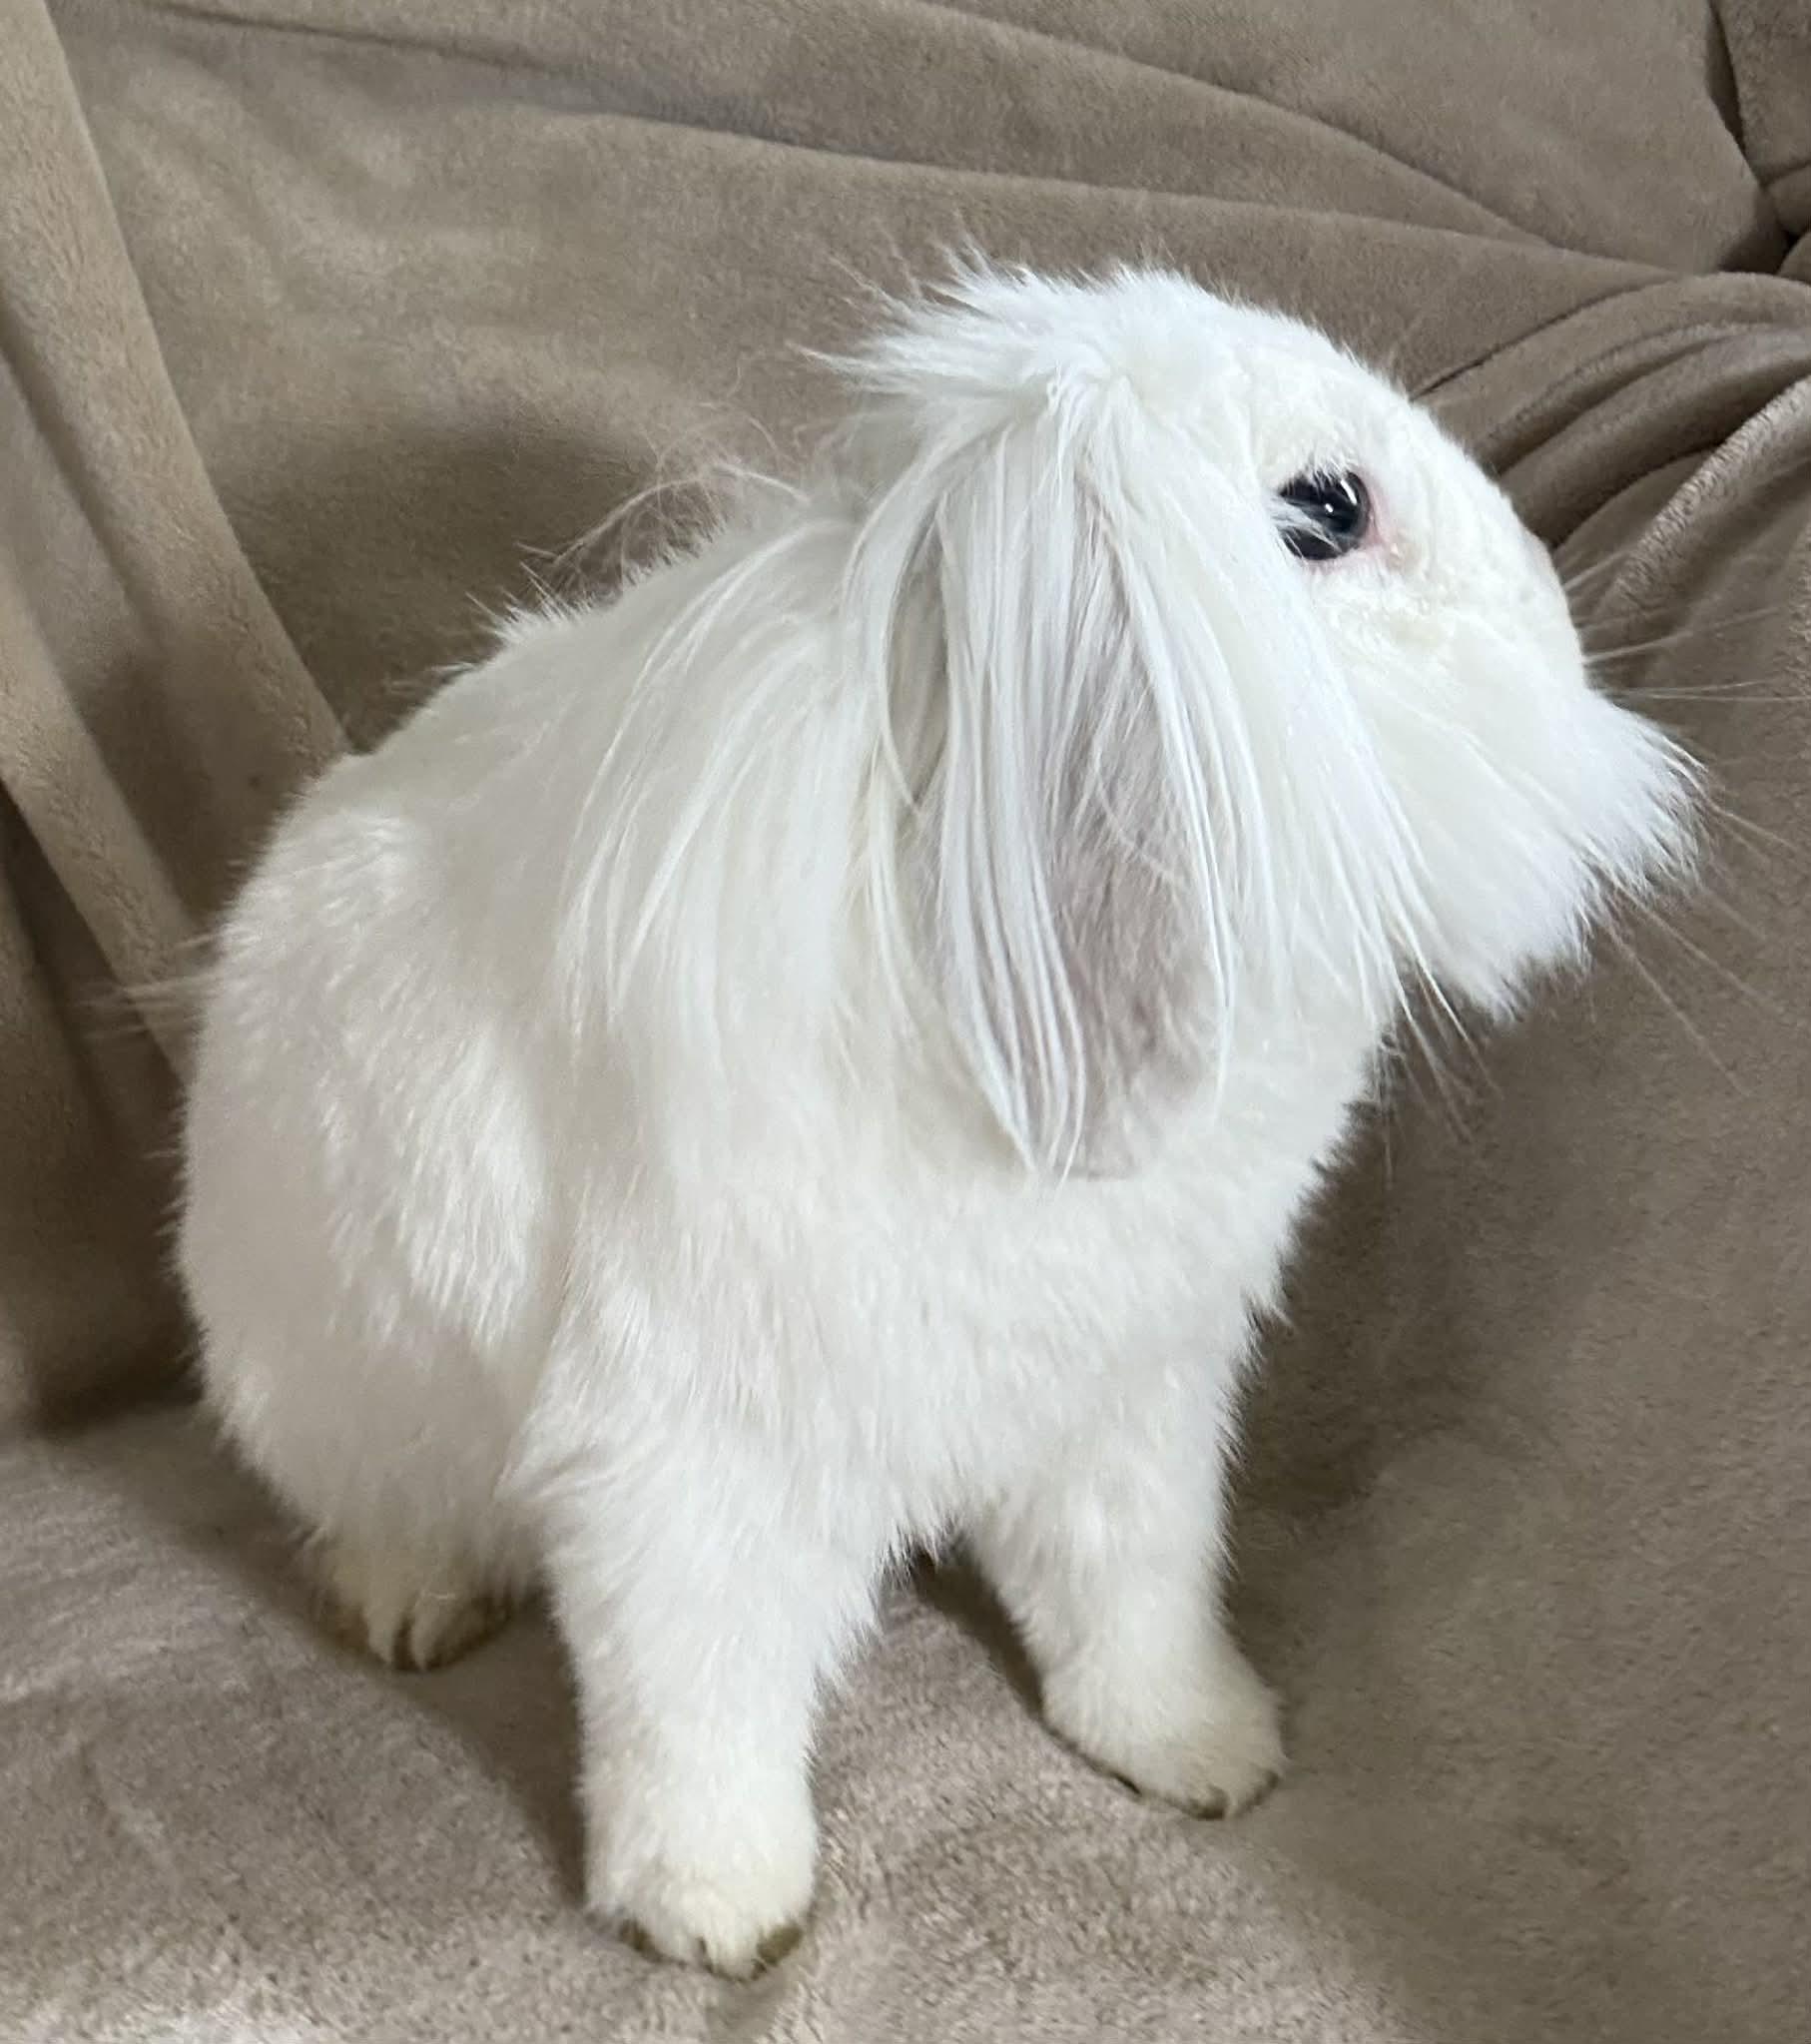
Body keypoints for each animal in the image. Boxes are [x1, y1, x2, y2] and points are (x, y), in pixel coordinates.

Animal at [178, 264, 1697, 1976]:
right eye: (1323, 509)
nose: (1555, 609)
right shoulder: (681, 1444)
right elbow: (691, 1691)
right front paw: (718, 1910)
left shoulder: (1129, 1392)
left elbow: (1131, 1589)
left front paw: (1204, 1750)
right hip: (334, 1391)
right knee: (378, 1514)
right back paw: (414, 1604)